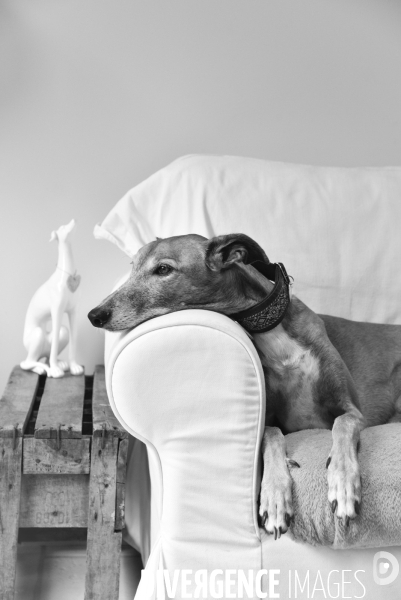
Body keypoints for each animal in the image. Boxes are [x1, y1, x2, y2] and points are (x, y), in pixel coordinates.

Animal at [20, 220, 83, 378]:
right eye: (62, 227)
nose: (73, 220)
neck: (66, 275)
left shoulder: (74, 312)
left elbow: (73, 340)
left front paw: (74, 366)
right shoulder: (57, 311)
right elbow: (54, 344)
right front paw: (54, 370)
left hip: (59, 336)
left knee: (45, 356)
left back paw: (59, 364)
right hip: (36, 335)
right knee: (27, 363)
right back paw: (43, 368)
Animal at [87, 234, 400, 540]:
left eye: (163, 269)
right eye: (132, 267)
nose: (95, 315)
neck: (271, 329)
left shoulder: (353, 409)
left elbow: (342, 424)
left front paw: (343, 483)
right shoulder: (277, 420)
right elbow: (270, 434)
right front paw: (275, 499)